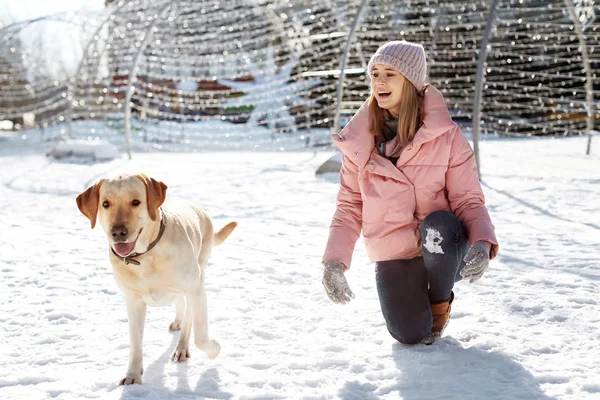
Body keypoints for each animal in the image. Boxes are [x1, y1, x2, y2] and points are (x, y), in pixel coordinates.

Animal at [75, 173, 234, 386]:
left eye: (136, 202)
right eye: (105, 204)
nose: (117, 232)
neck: (145, 255)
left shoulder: (196, 289)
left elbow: (200, 335)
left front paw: (214, 349)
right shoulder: (133, 301)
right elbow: (135, 343)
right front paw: (133, 375)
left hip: (200, 268)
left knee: (189, 316)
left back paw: (182, 347)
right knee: (179, 303)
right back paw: (177, 322)